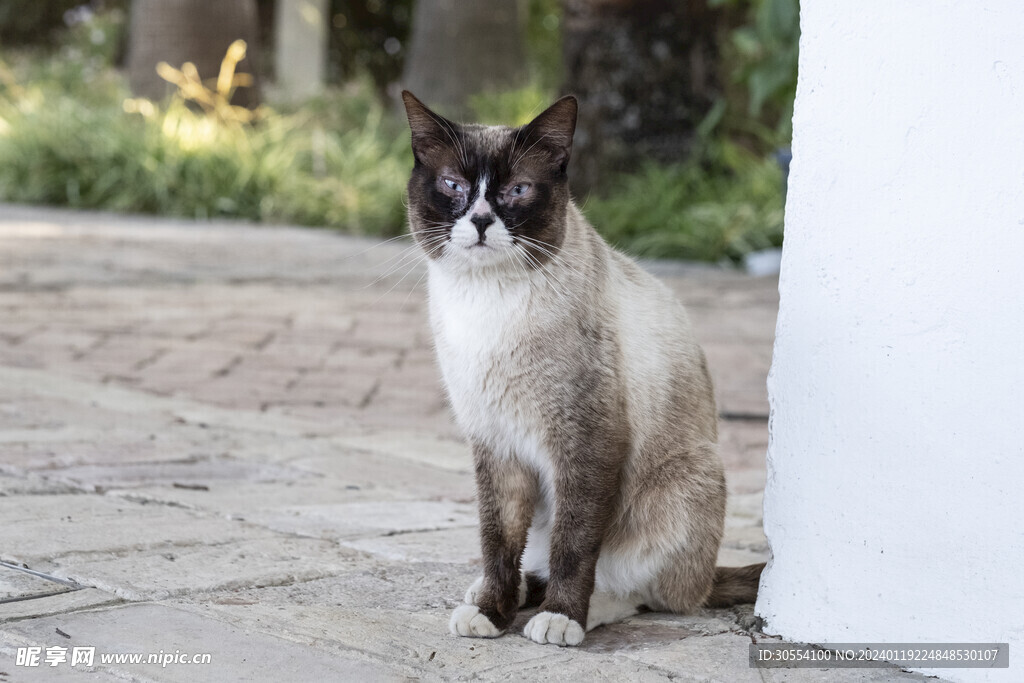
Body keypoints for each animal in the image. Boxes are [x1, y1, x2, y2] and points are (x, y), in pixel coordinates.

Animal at [403, 90, 765, 647]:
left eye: (517, 190)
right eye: (453, 186)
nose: (482, 220)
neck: (486, 305)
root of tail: (706, 578)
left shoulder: (585, 441)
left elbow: (574, 544)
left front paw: (562, 617)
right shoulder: (495, 442)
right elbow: (497, 540)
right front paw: (491, 613)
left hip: (683, 486)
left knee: (643, 593)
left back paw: (575, 609)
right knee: (532, 560)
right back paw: (499, 594)